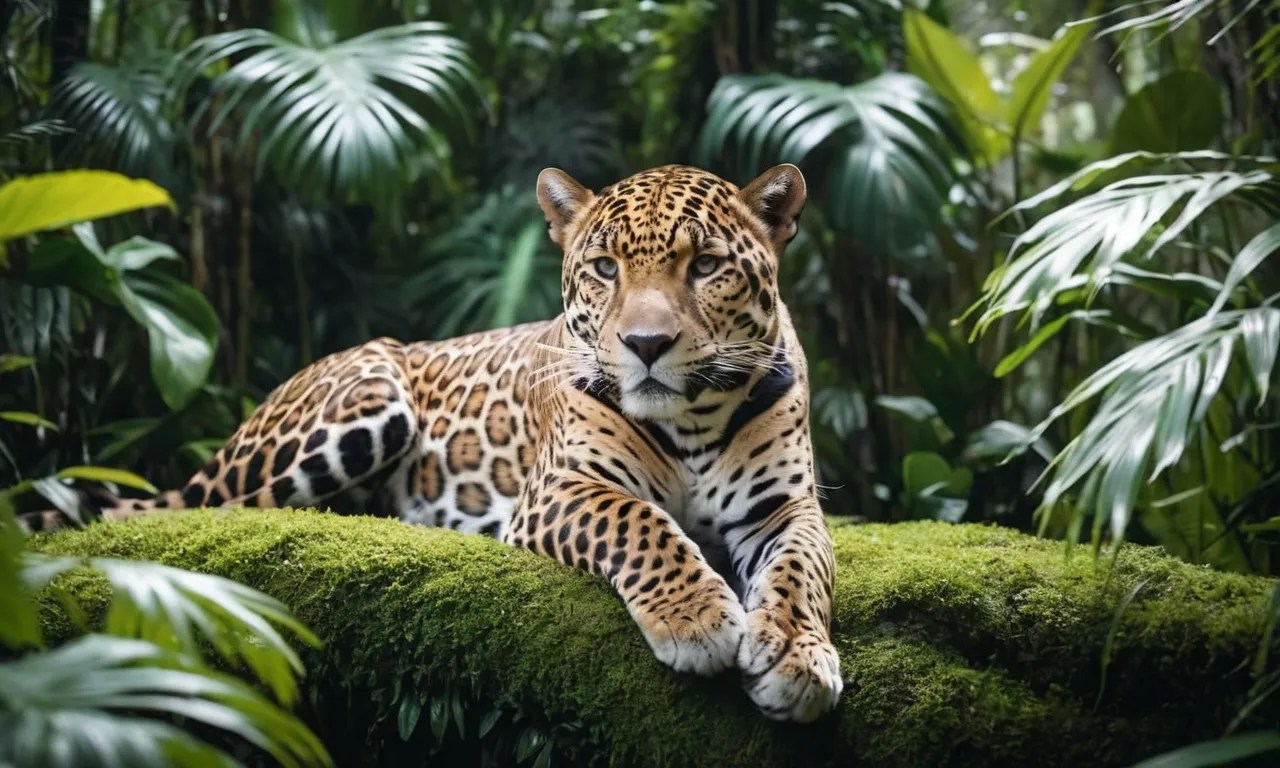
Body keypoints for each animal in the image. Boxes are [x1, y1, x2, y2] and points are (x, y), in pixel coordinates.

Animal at [21, 164, 844, 723]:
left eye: (705, 266)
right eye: (605, 269)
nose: (645, 345)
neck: (692, 418)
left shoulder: (786, 510)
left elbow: (802, 570)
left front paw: (797, 656)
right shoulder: (561, 489)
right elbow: (639, 523)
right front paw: (697, 617)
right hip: (365, 403)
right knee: (205, 515)